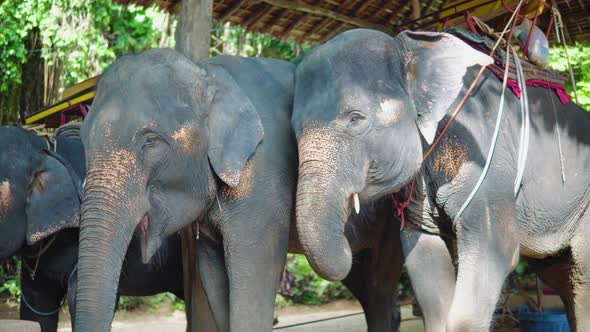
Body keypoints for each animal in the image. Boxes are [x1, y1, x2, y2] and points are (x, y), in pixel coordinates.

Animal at [74, 49, 404, 332]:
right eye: (83, 141)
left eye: (151, 141)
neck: (207, 73)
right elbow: (215, 277)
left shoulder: (264, 176)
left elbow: (255, 273)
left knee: (379, 284)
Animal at [292, 27, 590, 332]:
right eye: (293, 130)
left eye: (355, 118)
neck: (408, 48)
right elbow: (423, 253)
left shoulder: (484, 150)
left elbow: (496, 245)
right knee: (560, 275)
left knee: (580, 275)